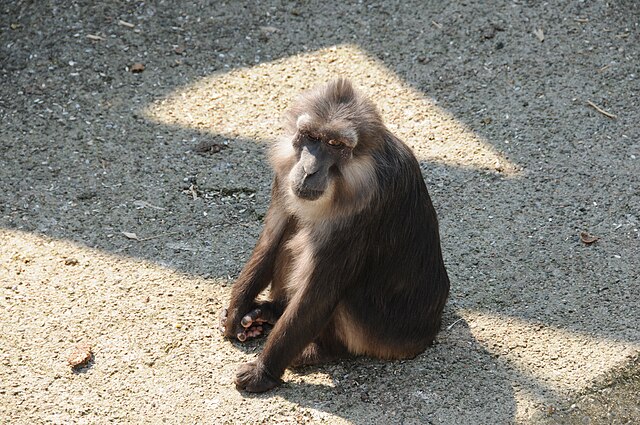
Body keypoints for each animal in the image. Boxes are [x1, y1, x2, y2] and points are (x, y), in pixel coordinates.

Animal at [220, 78, 450, 390]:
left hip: (380, 335)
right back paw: (271, 311)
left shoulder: (370, 203)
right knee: (294, 235)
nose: (309, 169)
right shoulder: (285, 174)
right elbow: (272, 237)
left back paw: (323, 350)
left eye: (335, 144)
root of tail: (428, 333)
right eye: (311, 137)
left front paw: (263, 371)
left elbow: (320, 289)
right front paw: (235, 314)